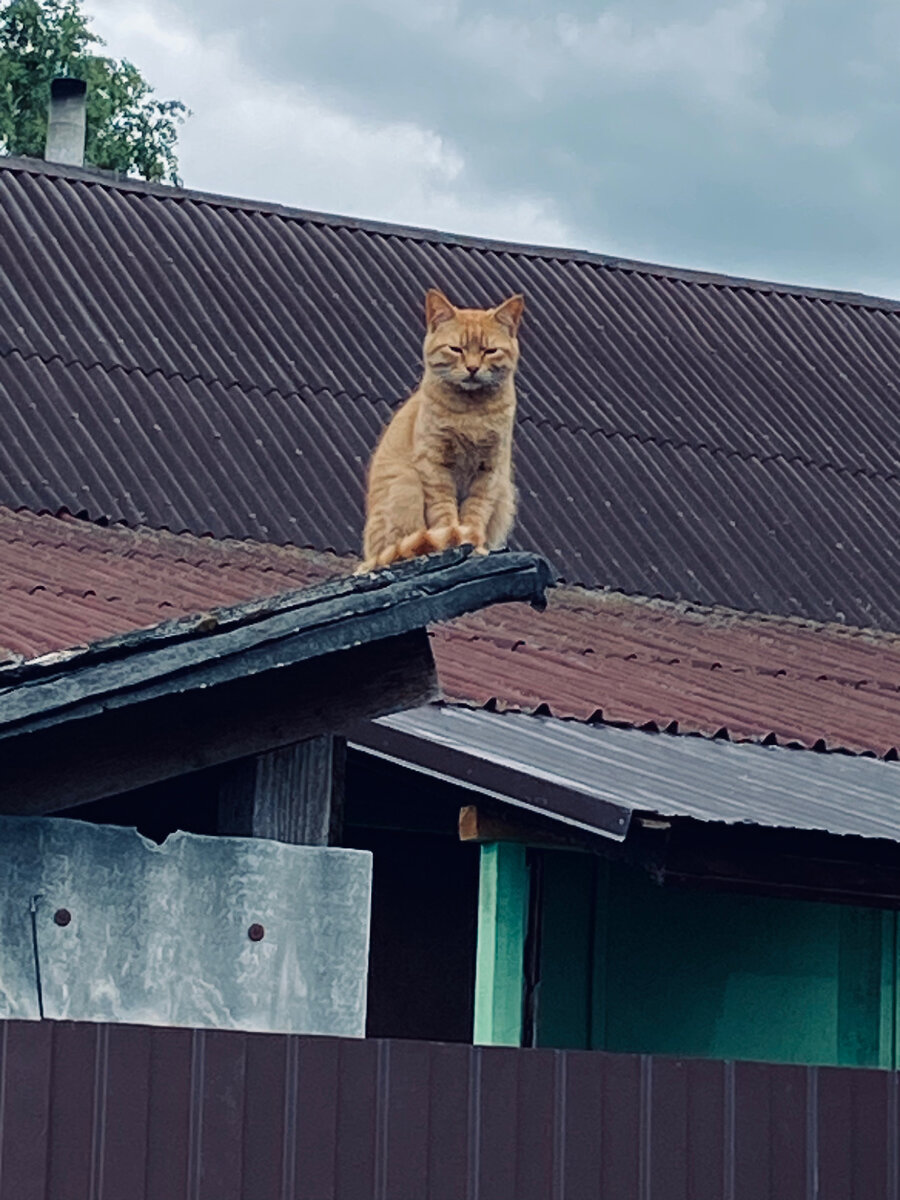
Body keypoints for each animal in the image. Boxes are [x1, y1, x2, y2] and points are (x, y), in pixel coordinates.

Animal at [355, 288, 525, 573]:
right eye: (456, 349)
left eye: (490, 351)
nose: (472, 368)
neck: (471, 412)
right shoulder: (435, 465)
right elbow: (445, 514)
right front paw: (454, 540)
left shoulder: (490, 471)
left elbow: (475, 513)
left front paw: (475, 544)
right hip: (405, 485)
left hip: (505, 493)